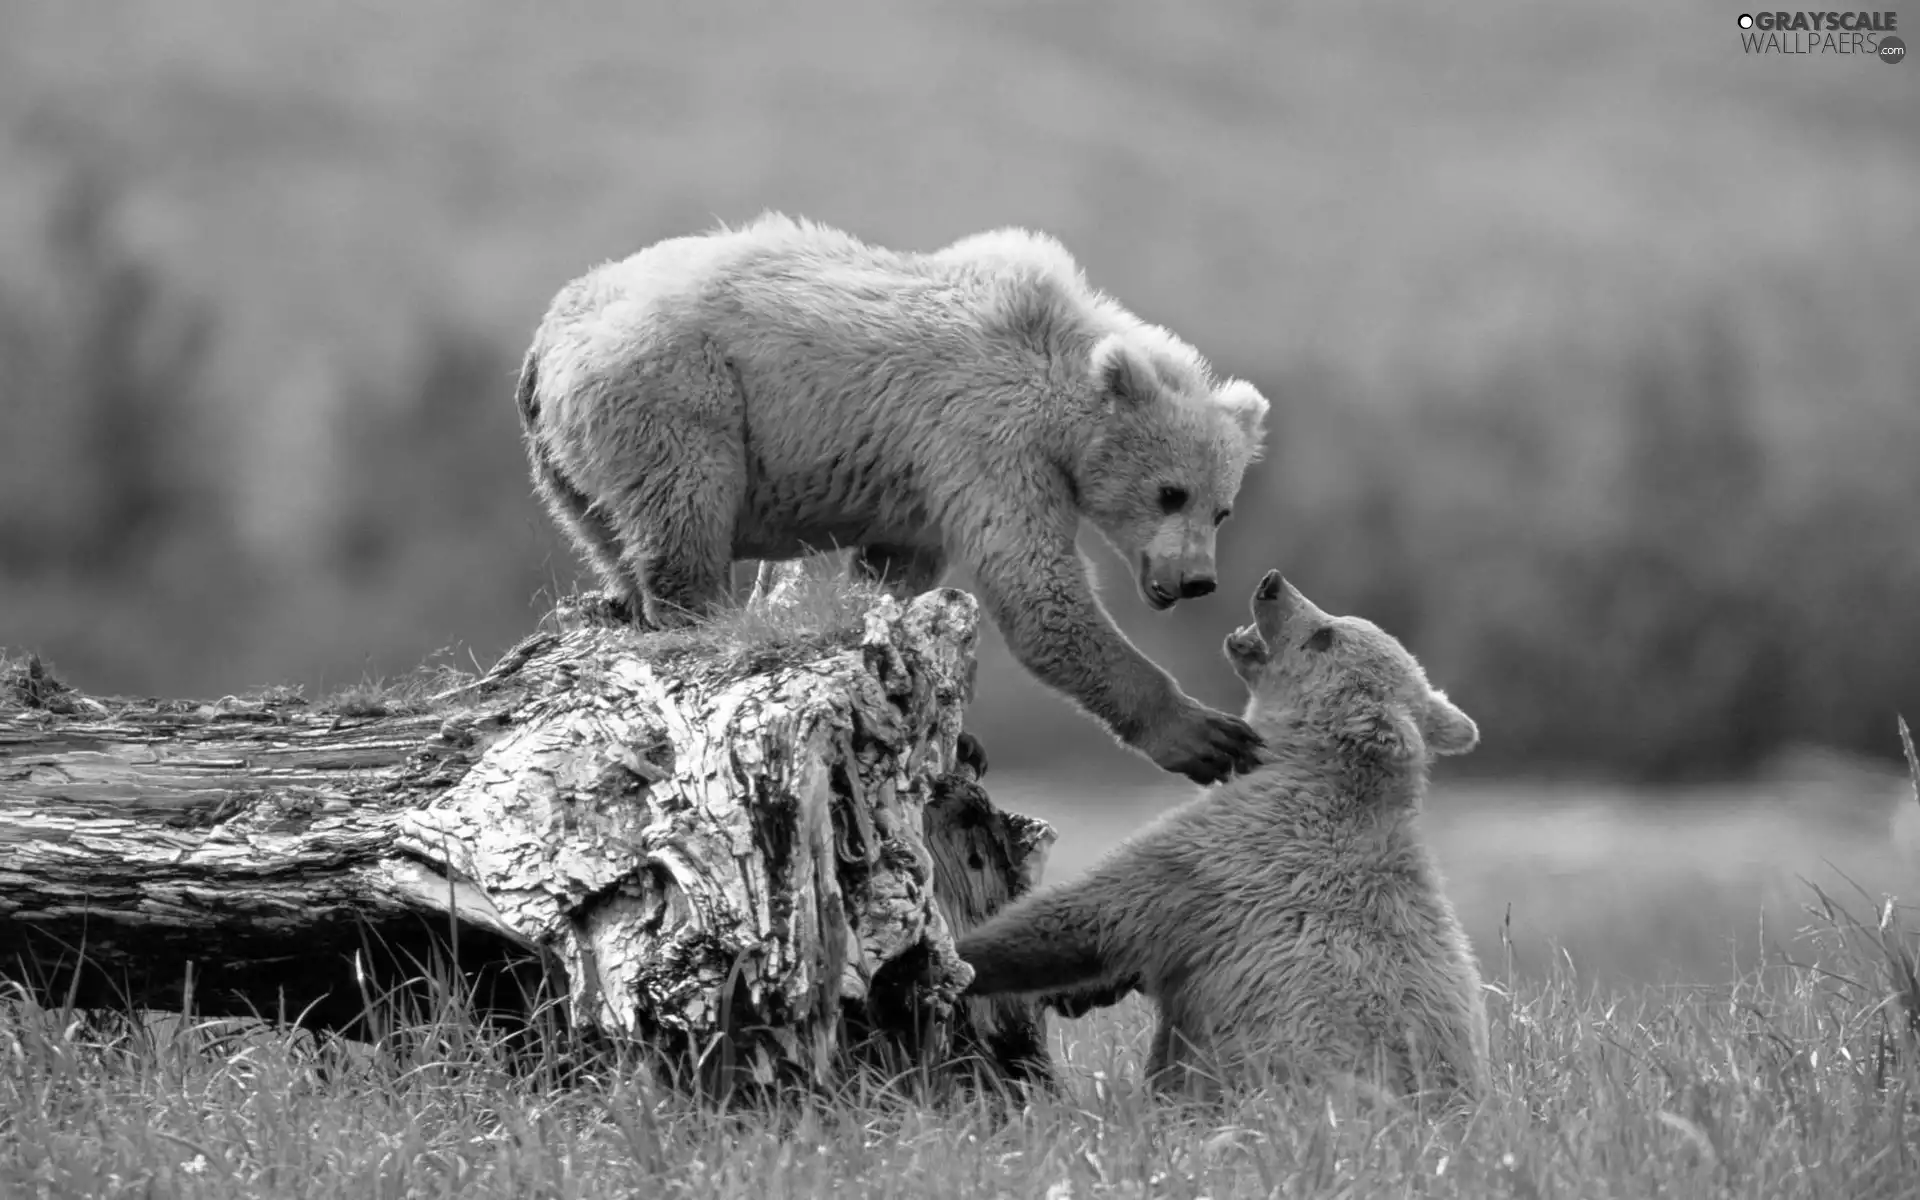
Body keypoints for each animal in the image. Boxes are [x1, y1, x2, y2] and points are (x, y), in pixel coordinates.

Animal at [514, 215, 1274, 787]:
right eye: (1170, 492)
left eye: (1222, 509)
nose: (1197, 579)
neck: (1061, 386)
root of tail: (546, 335)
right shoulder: (987, 441)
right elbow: (1039, 594)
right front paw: (1209, 735)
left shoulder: (922, 484)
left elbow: (896, 574)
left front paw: (957, 733)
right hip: (677, 392)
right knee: (685, 511)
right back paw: (701, 614)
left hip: (568, 465)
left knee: (611, 535)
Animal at [952, 572, 1489, 1105]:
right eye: (1336, 622)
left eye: (1325, 635)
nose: (1273, 584)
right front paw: (1078, 993)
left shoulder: (1226, 860)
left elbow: (1086, 916)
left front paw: (960, 957)